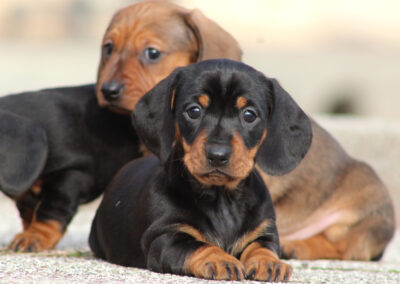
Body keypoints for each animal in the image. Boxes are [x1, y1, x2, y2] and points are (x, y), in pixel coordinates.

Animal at [0, 86, 141, 251]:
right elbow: (29, 213)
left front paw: (34, 237)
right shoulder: (25, 195)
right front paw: (27, 233)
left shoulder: (71, 174)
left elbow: (50, 210)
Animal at [89, 60, 314, 282]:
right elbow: (199, 245)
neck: (222, 198)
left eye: (249, 114)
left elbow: (261, 246)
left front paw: (269, 262)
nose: (217, 155)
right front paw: (220, 259)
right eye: (194, 111)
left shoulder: (264, 233)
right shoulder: (164, 237)